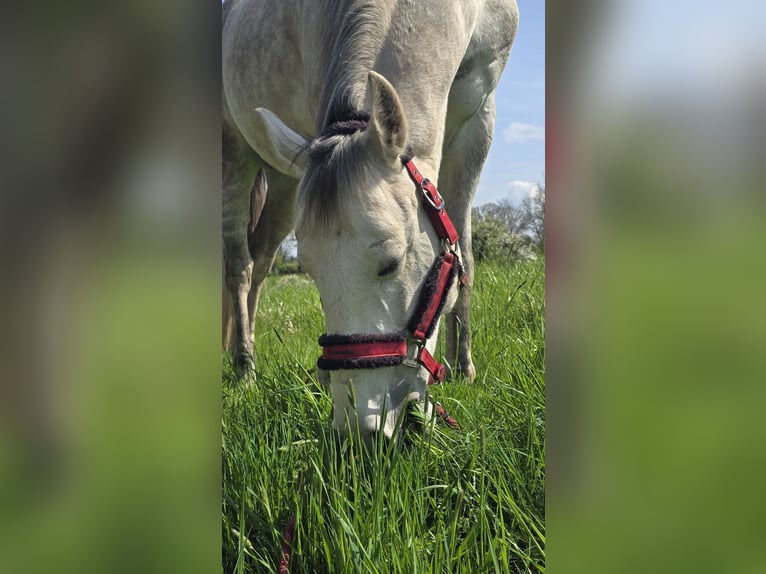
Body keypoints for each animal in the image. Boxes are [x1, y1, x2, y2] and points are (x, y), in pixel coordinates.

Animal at [222, 0, 518, 438]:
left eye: (390, 264)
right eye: (312, 273)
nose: (360, 429)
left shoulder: (479, 116)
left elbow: (464, 251)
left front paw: (462, 367)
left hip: (283, 180)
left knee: (259, 263)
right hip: (235, 152)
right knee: (239, 268)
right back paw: (244, 367)